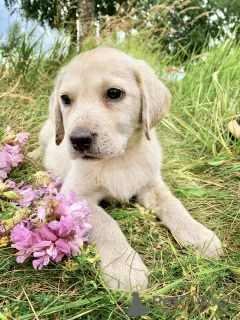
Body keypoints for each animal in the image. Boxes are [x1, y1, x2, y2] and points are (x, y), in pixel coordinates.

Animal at [30, 47, 223, 290]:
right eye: (65, 99)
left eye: (114, 93)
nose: (78, 140)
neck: (120, 158)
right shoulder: (76, 197)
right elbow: (107, 224)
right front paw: (124, 267)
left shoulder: (152, 186)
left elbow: (174, 205)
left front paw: (198, 233)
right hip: (47, 132)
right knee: (42, 146)